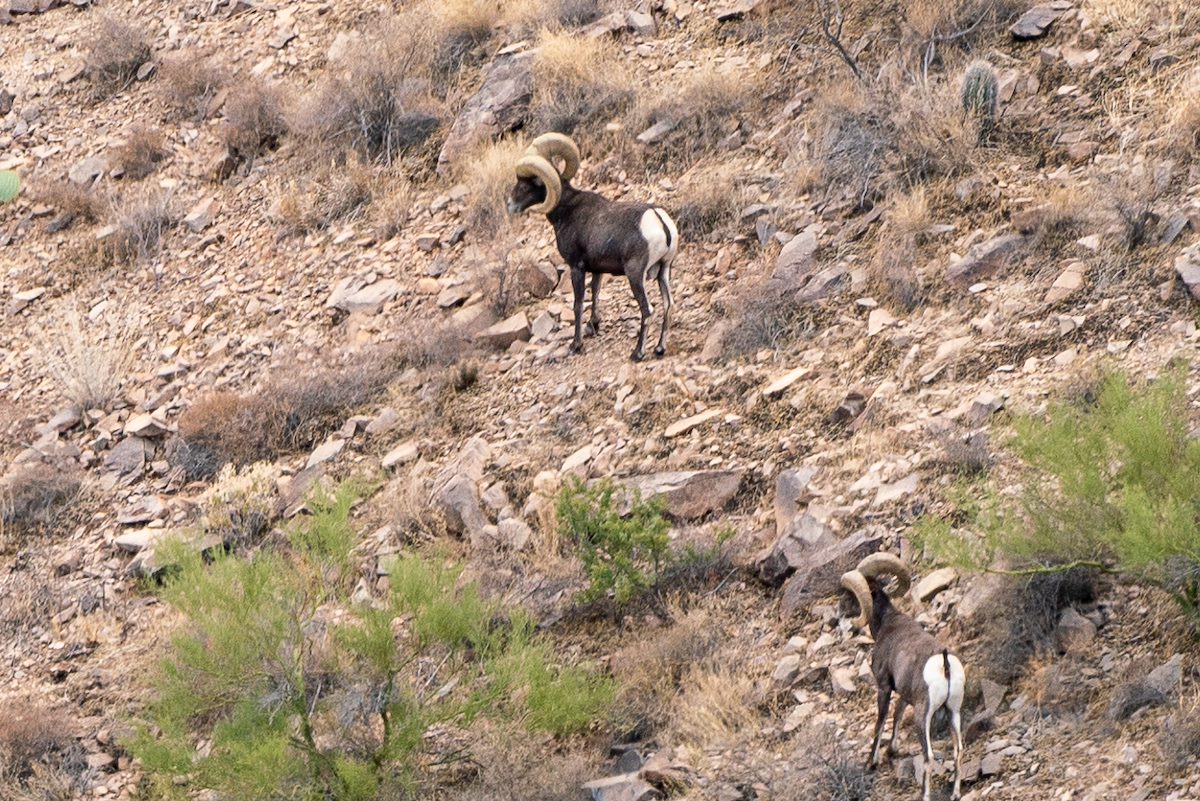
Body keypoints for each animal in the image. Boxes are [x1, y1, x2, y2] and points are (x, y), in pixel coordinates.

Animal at [501, 133, 681, 362]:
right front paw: (594, 325)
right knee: (668, 305)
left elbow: (578, 304)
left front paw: (576, 345)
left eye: (525, 185)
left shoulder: (576, 267)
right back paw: (659, 349)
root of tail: (660, 221)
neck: (566, 210)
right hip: (664, 271)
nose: (509, 205)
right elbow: (595, 292)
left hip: (635, 275)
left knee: (647, 310)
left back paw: (637, 353)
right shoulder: (597, 270)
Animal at [844, 553, 964, 801]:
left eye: (850, 596)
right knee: (958, 751)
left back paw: (924, 796)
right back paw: (955, 793)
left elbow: (881, 722)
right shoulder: (904, 694)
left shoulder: (883, 687)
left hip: (922, 716)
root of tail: (945, 664)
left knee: (928, 756)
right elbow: (897, 715)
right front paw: (892, 751)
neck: (887, 624)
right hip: (954, 711)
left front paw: (871, 762)